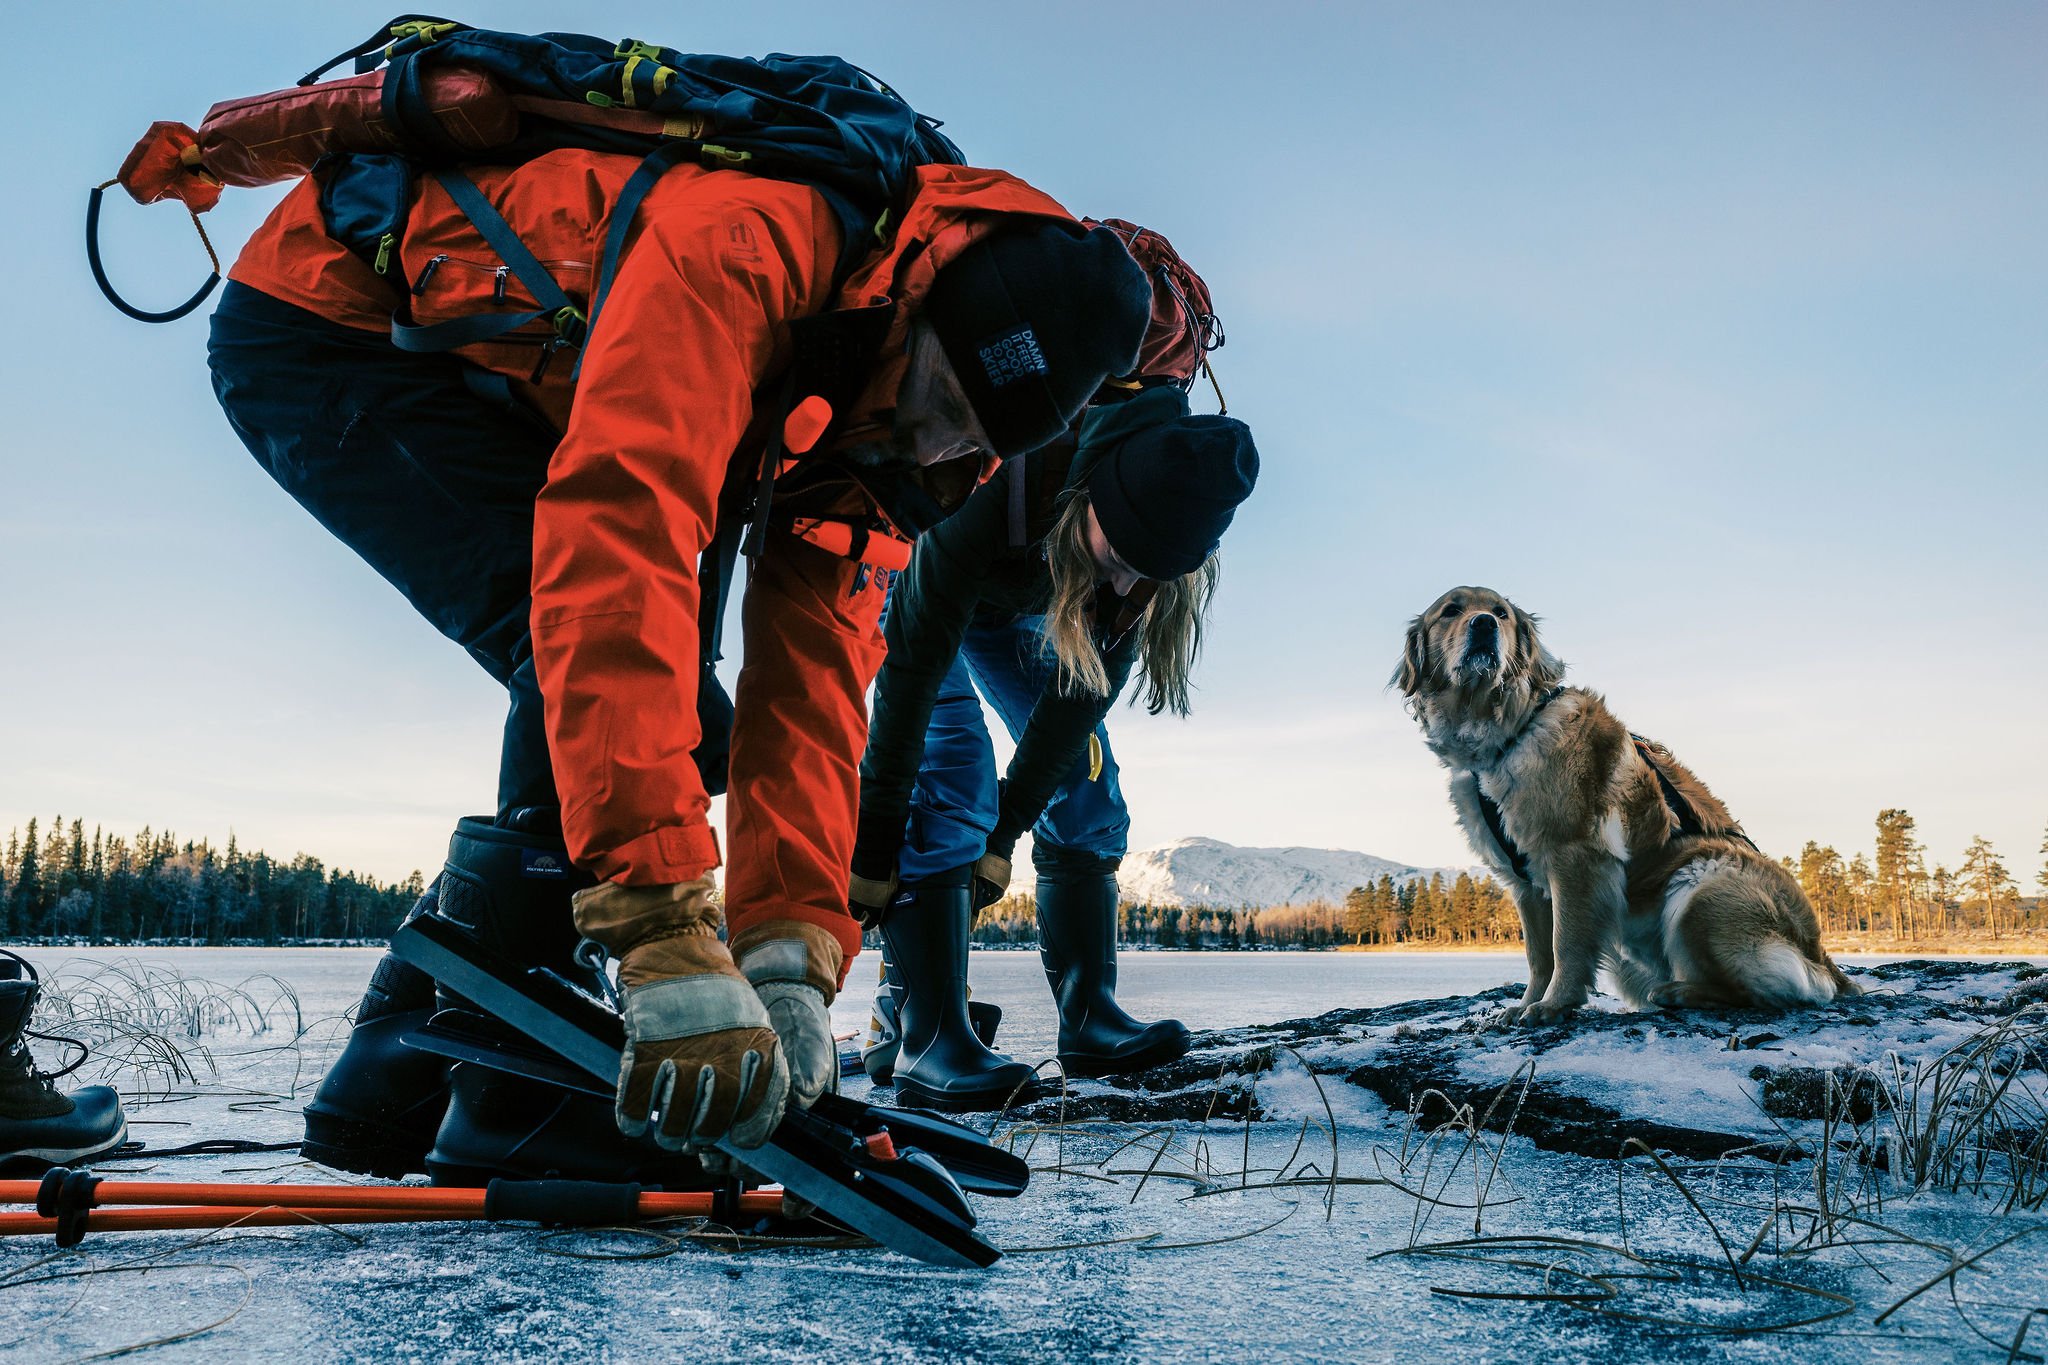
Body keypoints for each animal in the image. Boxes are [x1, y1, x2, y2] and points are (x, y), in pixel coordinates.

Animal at [1392, 589, 1859, 1023]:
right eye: (1451, 611)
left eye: (1501, 614)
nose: (1484, 624)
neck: (1510, 728)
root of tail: (1825, 964)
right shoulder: (1525, 884)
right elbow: (1538, 955)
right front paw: (1525, 1004)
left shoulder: (1577, 858)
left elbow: (1566, 945)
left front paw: (1554, 1004)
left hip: (1701, 884)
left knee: (1759, 992)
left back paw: (1678, 992)